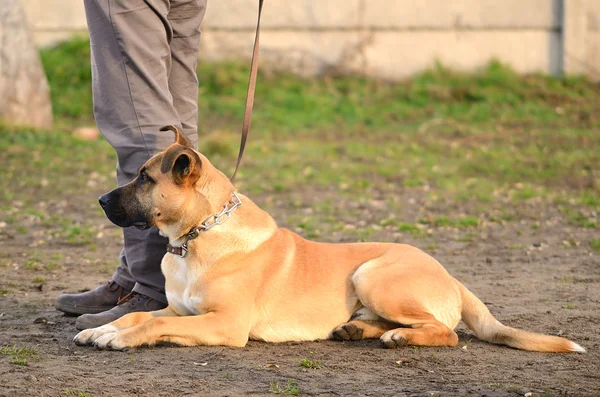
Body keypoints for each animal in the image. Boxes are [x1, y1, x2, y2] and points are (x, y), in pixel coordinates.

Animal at [75, 125, 584, 352]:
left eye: (144, 178)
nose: (99, 200)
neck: (198, 235)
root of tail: (451, 276)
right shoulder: (181, 310)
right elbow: (135, 317)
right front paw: (102, 328)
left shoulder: (225, 325)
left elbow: (148, 325)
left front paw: (119, 338)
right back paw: (359, 329)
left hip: (373, 274)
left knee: (445, 332)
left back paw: (398, 337)